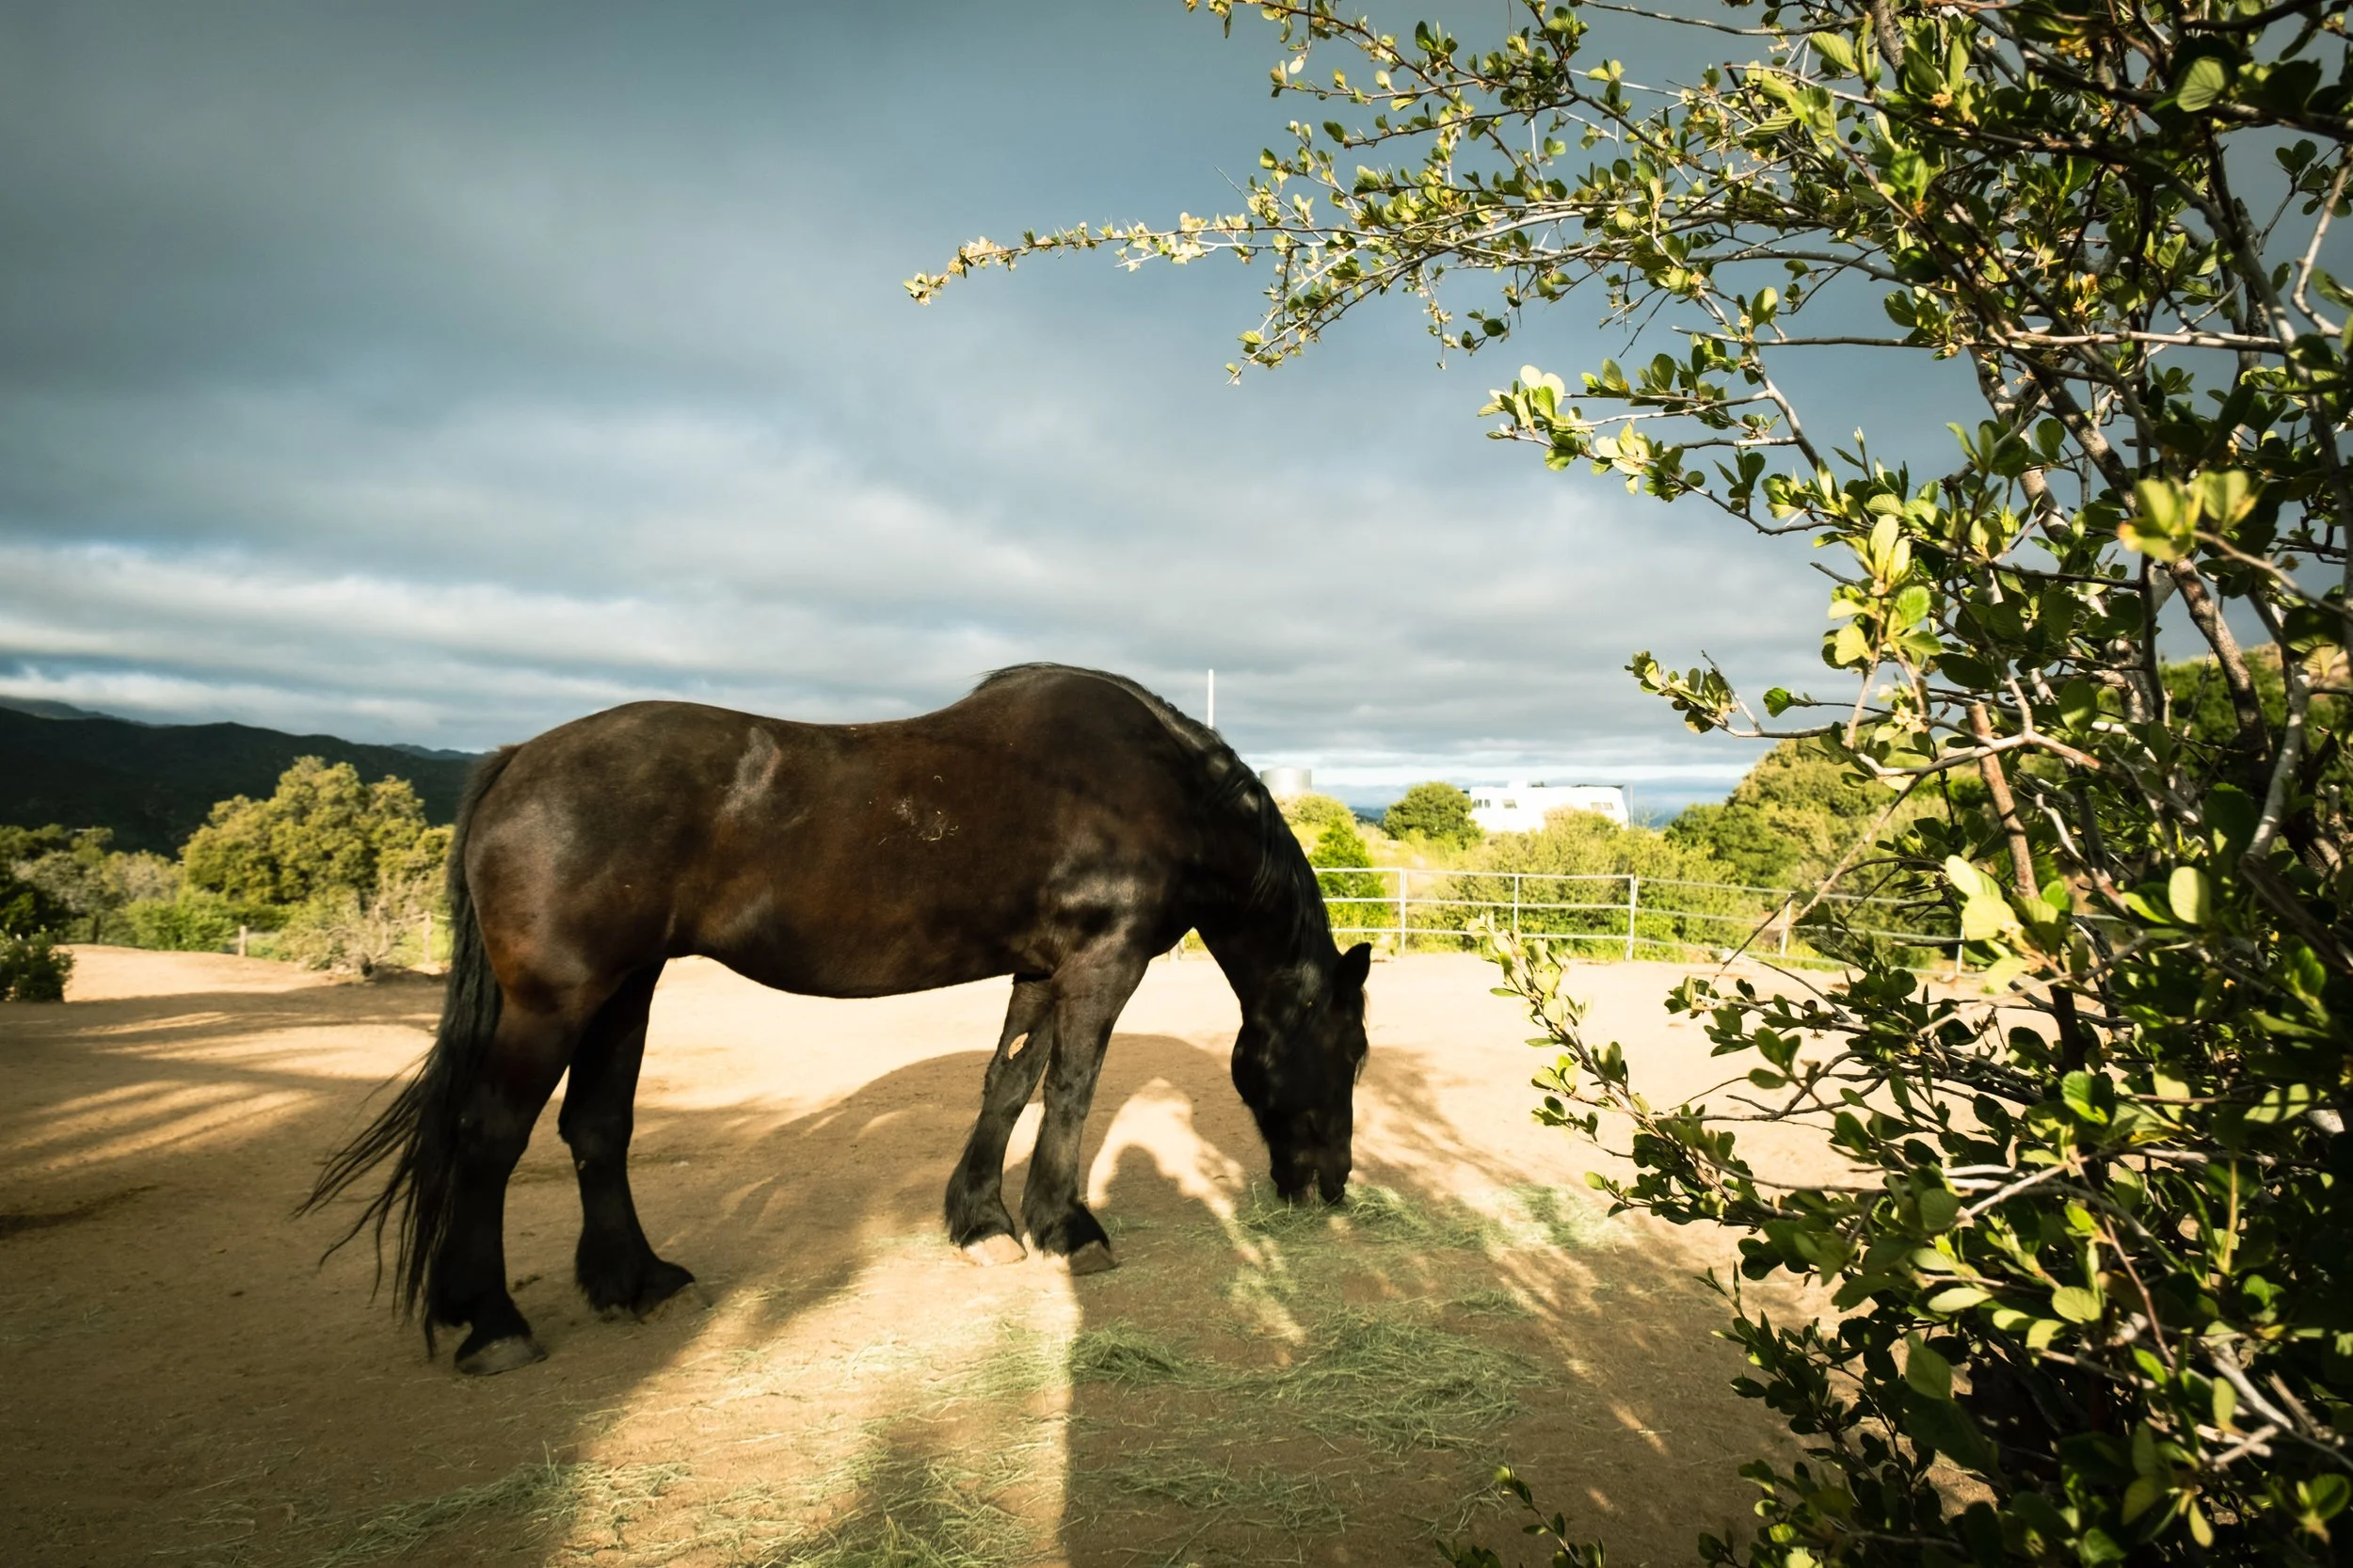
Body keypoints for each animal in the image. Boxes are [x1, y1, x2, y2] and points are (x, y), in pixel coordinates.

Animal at [305, 663, 1373, 1375]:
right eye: (1354, 1055)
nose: (1329, 1185)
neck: (1152, 788)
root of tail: (518, 759)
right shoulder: (1100, 966)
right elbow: (1069, 1089)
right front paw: (1066, 1228)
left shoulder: (1039, 969)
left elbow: (1008, 1082)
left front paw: (981, 1222)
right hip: (557, 1000)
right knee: (490, 1137)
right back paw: (494, 1324)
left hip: (625, 990)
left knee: (595, 1127)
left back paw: (635, 1281)